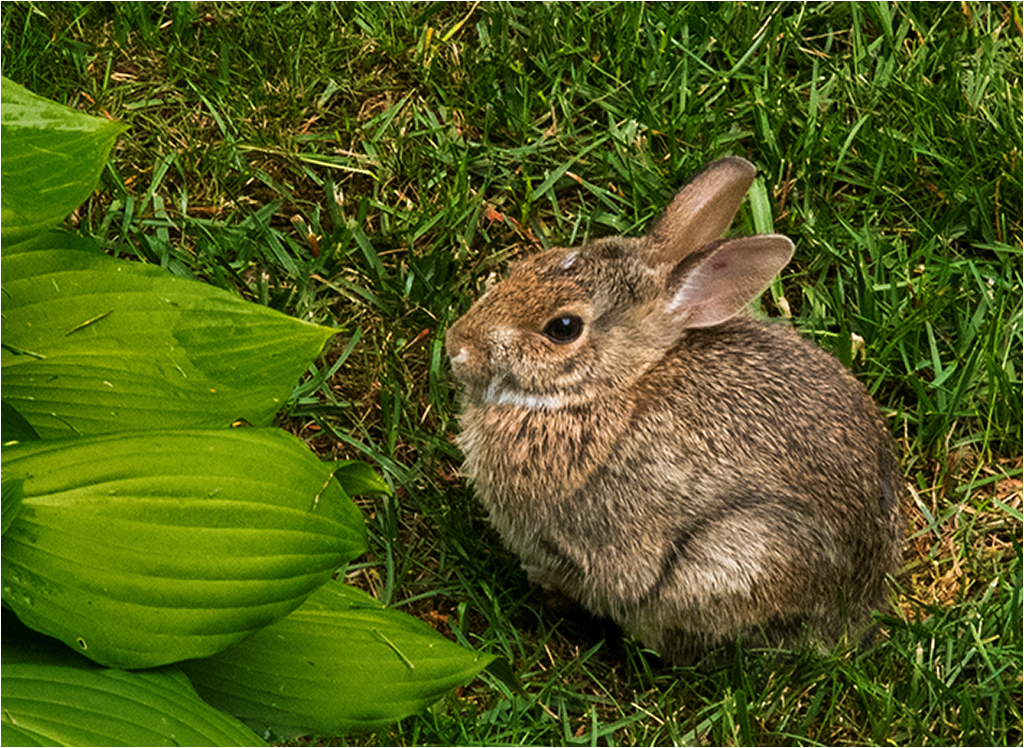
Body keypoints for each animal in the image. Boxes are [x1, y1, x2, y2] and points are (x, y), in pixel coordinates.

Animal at [448, 154, 905, 659]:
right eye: (530, 264)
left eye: (563, 328)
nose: (456, 346)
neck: (609, 389)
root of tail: (859, 606)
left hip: (736, 559)